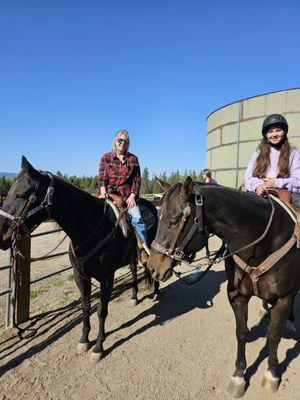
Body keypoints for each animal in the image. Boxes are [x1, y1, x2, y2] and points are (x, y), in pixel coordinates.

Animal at [0, 157, 158, 362]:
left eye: (21, 194)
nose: (1, 235)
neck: (91, 226)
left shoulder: (107, 278)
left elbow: (101, 310)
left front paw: (98, 347)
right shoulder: (80, 276)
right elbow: (85, 306)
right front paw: (84, 340)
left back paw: (156, 291)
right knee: (132, 269)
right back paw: (133, 296)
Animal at [148, 178, 300, 396]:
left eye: (174, 221)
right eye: (158, 217)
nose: (153, 269)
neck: (262, 243)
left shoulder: (284, 298)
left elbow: (273, 335)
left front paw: (272, 373)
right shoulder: (236, 295)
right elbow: (241, 332)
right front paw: (238, 377)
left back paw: (290, 321)